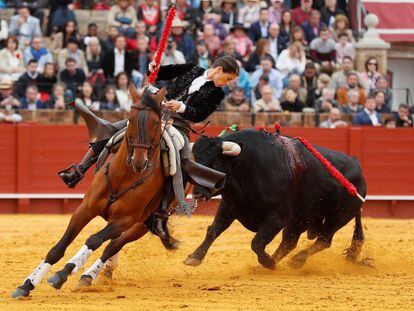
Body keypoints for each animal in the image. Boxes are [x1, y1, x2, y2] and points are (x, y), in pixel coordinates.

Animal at [13, 85, 168, 300]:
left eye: (156, 123)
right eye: (130, 119)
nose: (139, 161)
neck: (123, 177)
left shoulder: (124, 220)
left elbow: (94, 240)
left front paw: (62, 274)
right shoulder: (84, 209)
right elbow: (58, 248)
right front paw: (28, 284)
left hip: (141, 225)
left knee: (113, 245)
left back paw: (89, 275)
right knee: (112, 245)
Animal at [186, 129, 368, 270]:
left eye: (215, 164)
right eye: (195, 163)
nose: (198, 194)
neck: (248, 166)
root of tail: (358, 167)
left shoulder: (277, 217)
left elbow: (257, 242)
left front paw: (268, 262)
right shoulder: (229, 206)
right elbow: (214, 230)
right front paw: (195, 256)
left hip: (338, 217)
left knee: (323, 240)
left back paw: (295, 260)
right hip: (301, 219)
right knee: (290, 242)